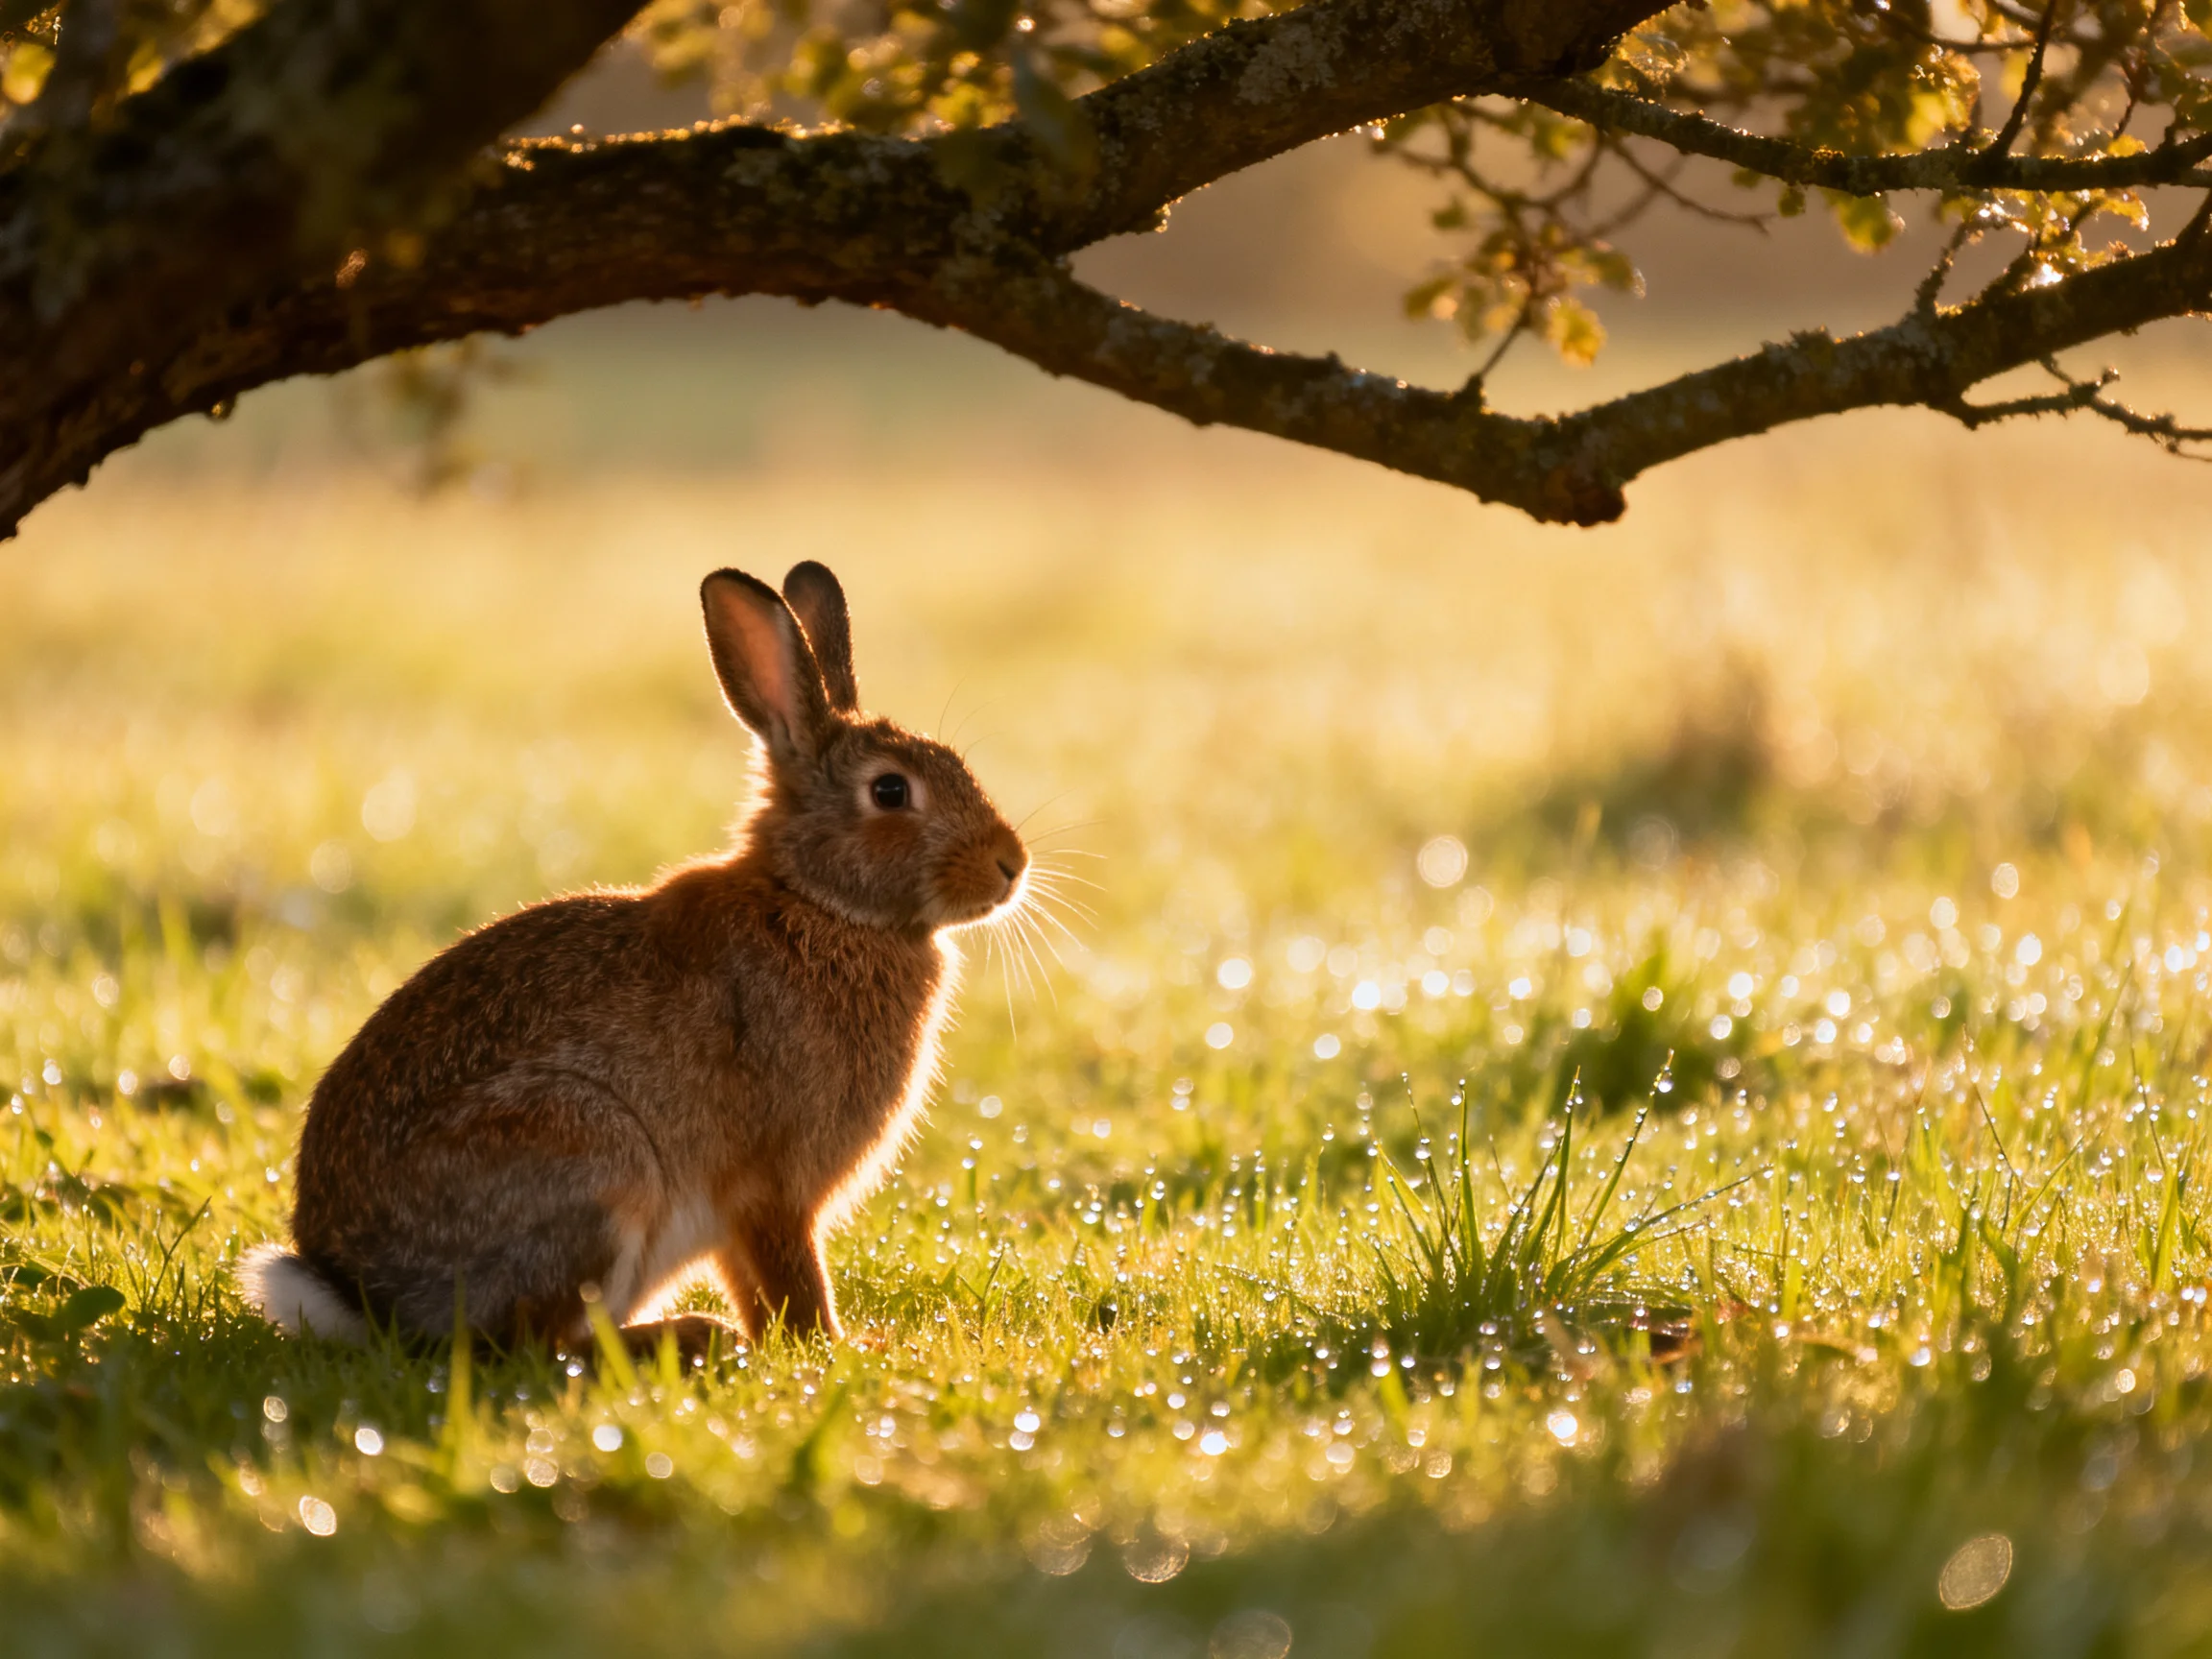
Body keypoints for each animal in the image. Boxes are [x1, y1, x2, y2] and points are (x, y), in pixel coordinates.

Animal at [237, 561, 1029, 1353]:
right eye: (890, 790)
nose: (1011, 865)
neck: (816, 902)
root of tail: (364, 1293)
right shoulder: (771, 1185)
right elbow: (792, 1275)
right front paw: (834, 1348)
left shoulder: (739, 1213)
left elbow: (753, 1279)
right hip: (595, 1157)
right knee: (534, 1344)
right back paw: (691, 1336)